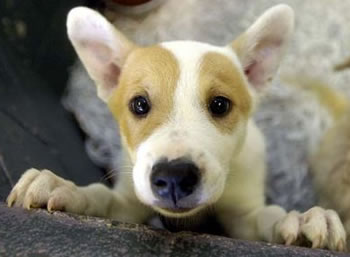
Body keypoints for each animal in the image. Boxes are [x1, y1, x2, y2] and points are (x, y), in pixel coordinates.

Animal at [6, 4, 348, 250]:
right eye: (139, 104)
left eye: (220, 105)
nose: (173, 178)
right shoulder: (127, 202)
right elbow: (101, 197)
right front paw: (64, 187)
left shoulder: (244, 217)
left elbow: (267, 216)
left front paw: (301, 219)